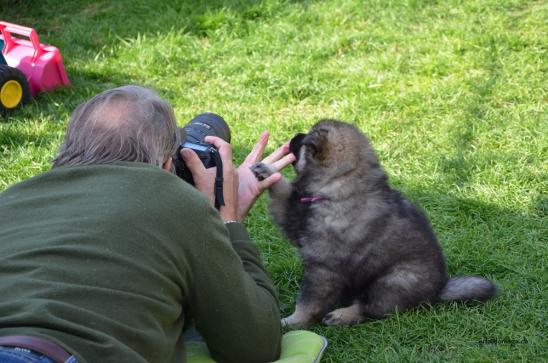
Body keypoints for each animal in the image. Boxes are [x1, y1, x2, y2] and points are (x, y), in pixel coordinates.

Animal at [253, 120, 496, 330]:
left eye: (304, 141)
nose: (294, 136)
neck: (339, 186)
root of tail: (438, 290)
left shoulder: (323, 269)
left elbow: (307, 303)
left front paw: (291, 322)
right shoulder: (294, 220)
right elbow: (283, 190)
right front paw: (266, 171)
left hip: (392, 281)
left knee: (371, 308)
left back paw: (342, 315)